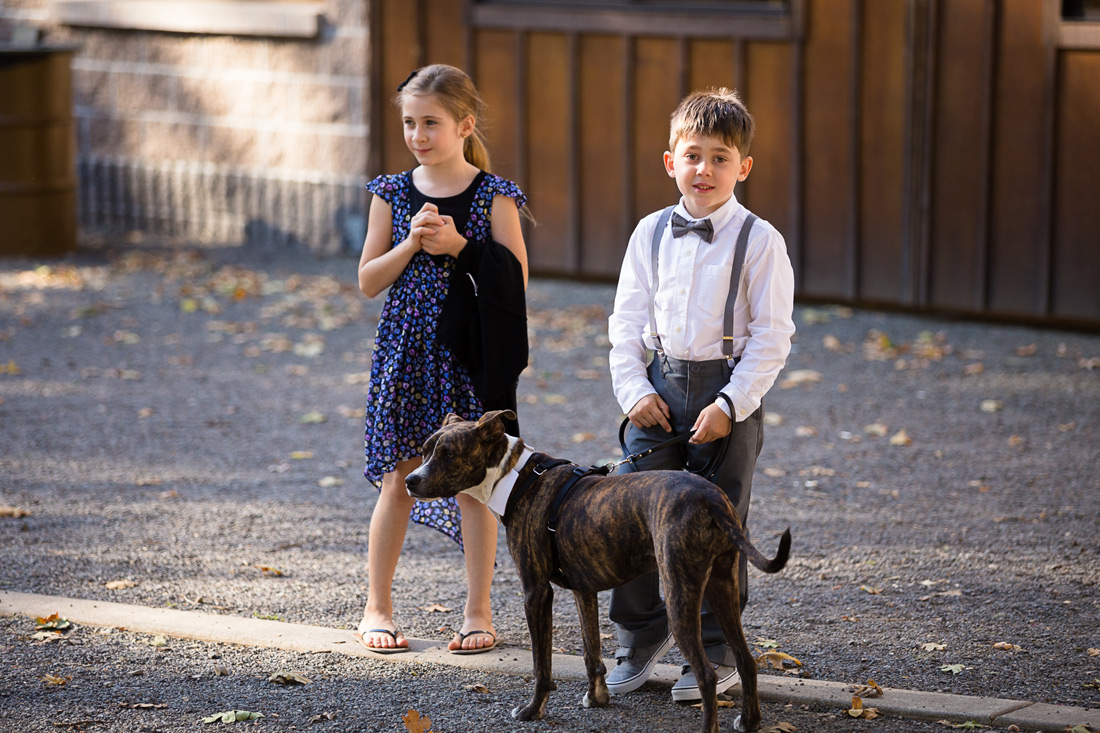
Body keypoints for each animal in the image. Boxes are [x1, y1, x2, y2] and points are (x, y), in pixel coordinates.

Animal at [404, 407, 792, 726]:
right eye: (423, 450)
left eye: (448, 454)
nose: (410, 481)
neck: (515, 478)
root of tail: (709, 497)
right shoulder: (584, 591)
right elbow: (592, 652)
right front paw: (598, 698)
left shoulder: (536, 593)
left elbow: (541, 664)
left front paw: (533, 710)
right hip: (721, 587)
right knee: (746, 660)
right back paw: (749, 721)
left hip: (681, 596)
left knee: (707, 676)